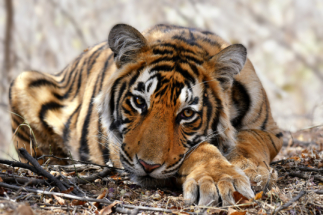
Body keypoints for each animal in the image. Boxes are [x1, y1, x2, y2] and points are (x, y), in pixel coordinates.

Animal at [8, 23, 284, 205]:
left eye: (187, 114)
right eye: (139, 102)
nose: (147, 166)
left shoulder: (271, 131)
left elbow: (251, 139)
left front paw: (251, 170)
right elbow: (198, 149)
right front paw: (219, 179)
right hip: (23, 81)